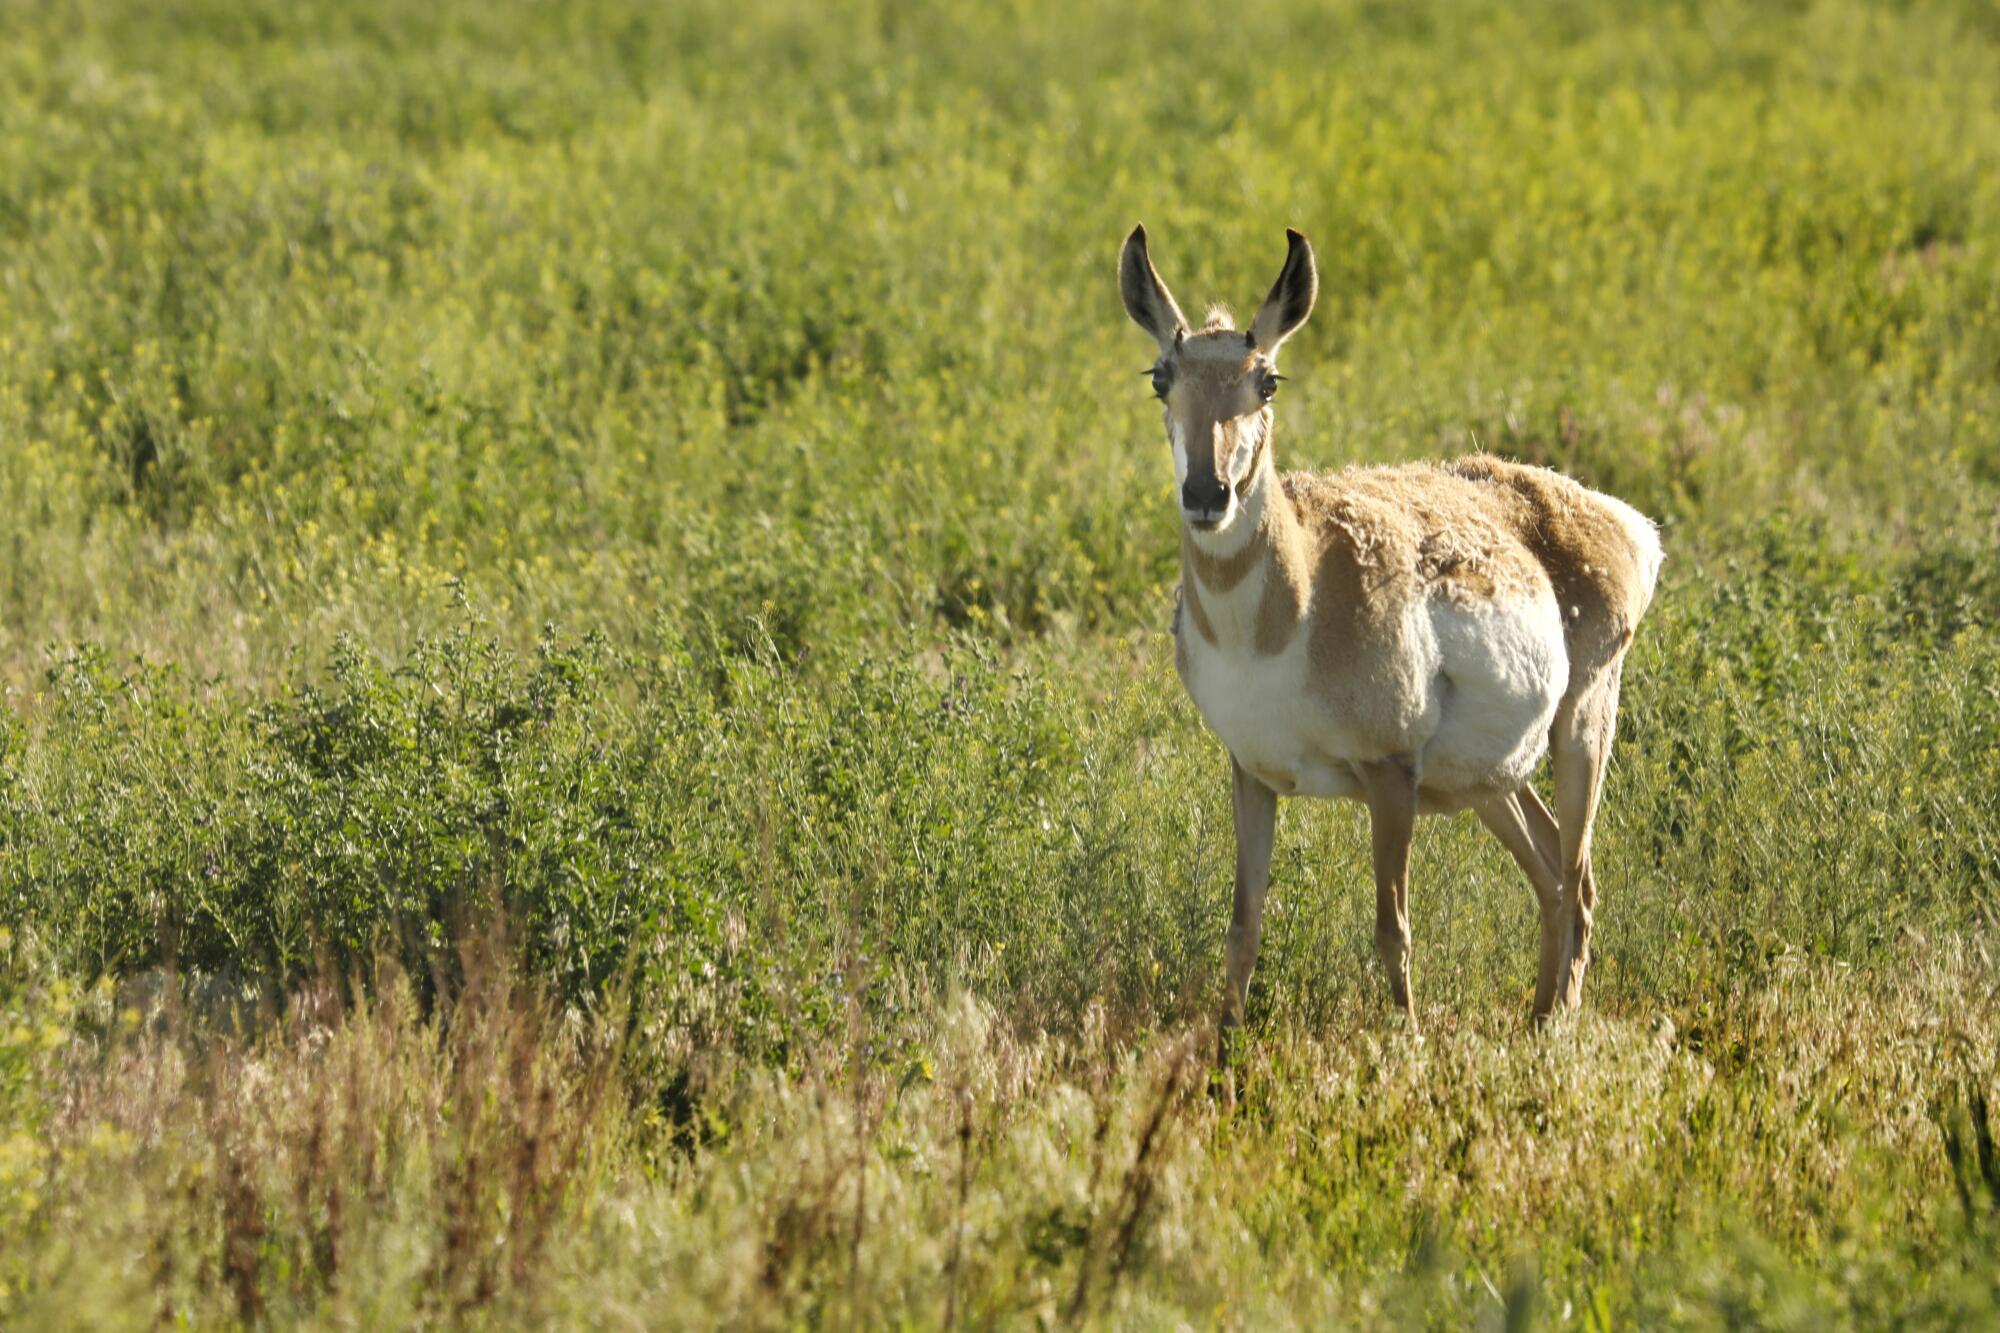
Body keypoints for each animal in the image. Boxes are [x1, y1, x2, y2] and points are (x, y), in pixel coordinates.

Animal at [1120, 223, 1664, 1032]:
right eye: (1162, 377)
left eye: (1267, 380)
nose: (1208, 493)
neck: (1292, 609)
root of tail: (1616, 518)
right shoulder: (1253, 772)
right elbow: (1243, 927)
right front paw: (1222, 1049)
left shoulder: (1389, 775)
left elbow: (1392, 929)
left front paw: (1404, 1040)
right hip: (1490, 781)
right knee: (1551, 874)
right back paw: (1536, 1022)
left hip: (1581, 732)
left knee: (1578, 880)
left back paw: (1556, 1026)